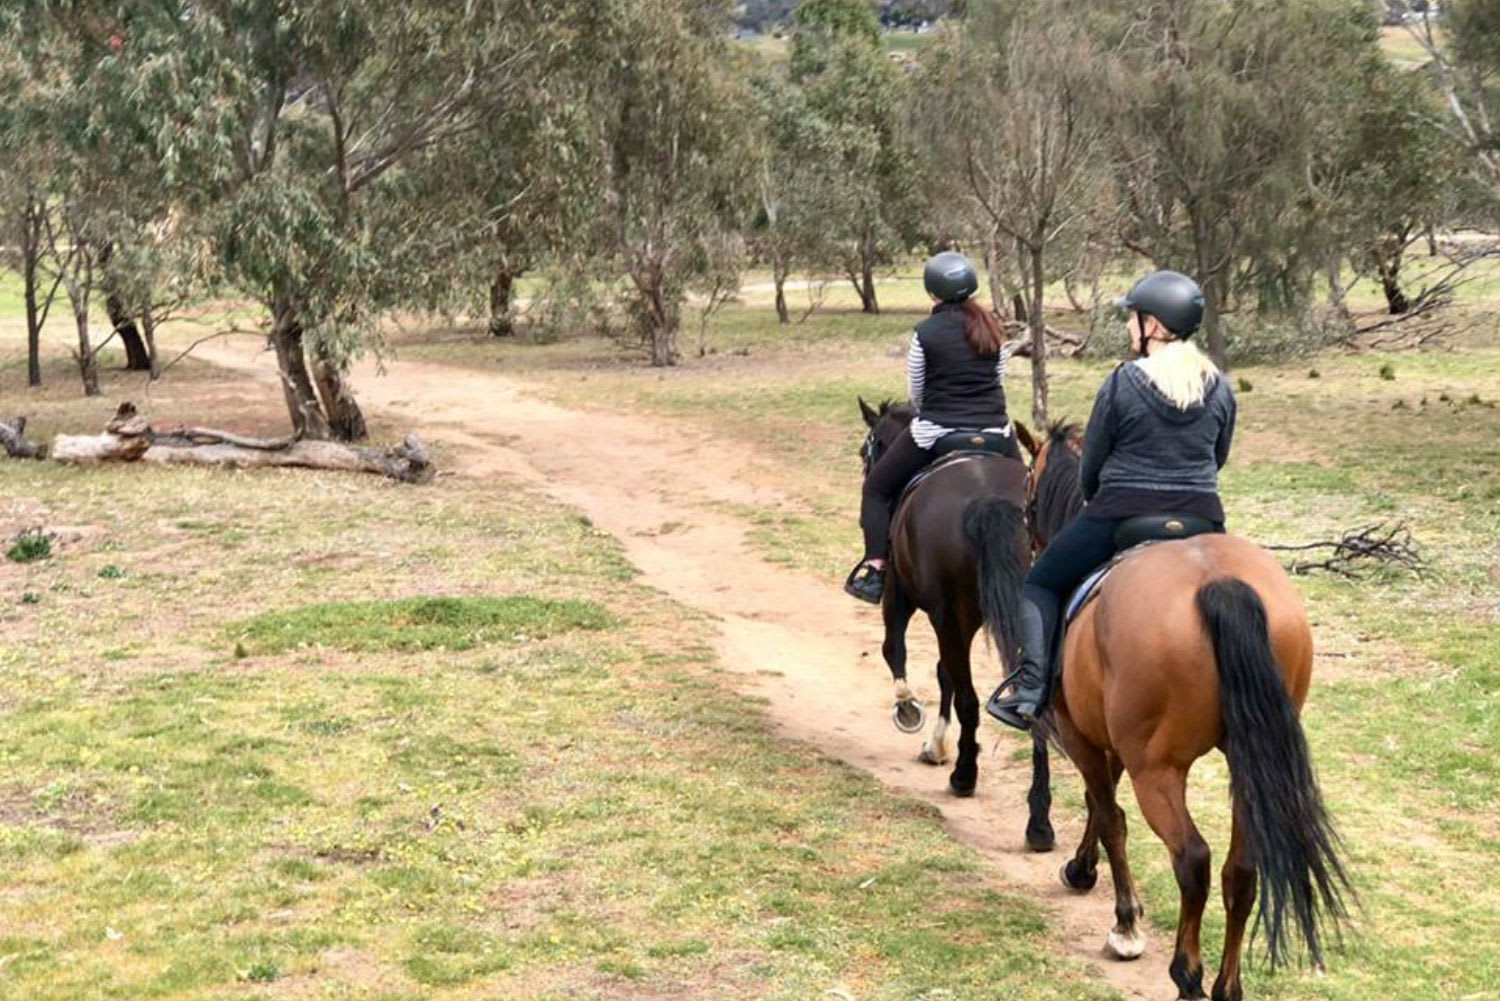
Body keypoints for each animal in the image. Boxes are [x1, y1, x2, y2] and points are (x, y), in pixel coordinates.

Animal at [857, 398, 1056, 852]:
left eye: (869, 449)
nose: (865, 465)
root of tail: (988, 498)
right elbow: (943, 671)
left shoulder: (902, 595)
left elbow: (896, 651)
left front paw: (911, 713)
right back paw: (1039, 822)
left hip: (949, 614)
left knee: (967, 696)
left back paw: (964, 776)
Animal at [1025, 423, 1351, 1001]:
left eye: (1029, 488)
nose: (1029, 536)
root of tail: (1215, 582)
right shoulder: (1109, 737)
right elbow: (1098, 804)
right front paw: (1085, 870)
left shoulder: (1079, 731)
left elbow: (1107, 813)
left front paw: (1123, 921)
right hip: (1246, 762)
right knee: (1242, 869)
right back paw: (1225, 985)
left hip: (1158, 769)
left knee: (1192, 859)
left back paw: (1188, 975)